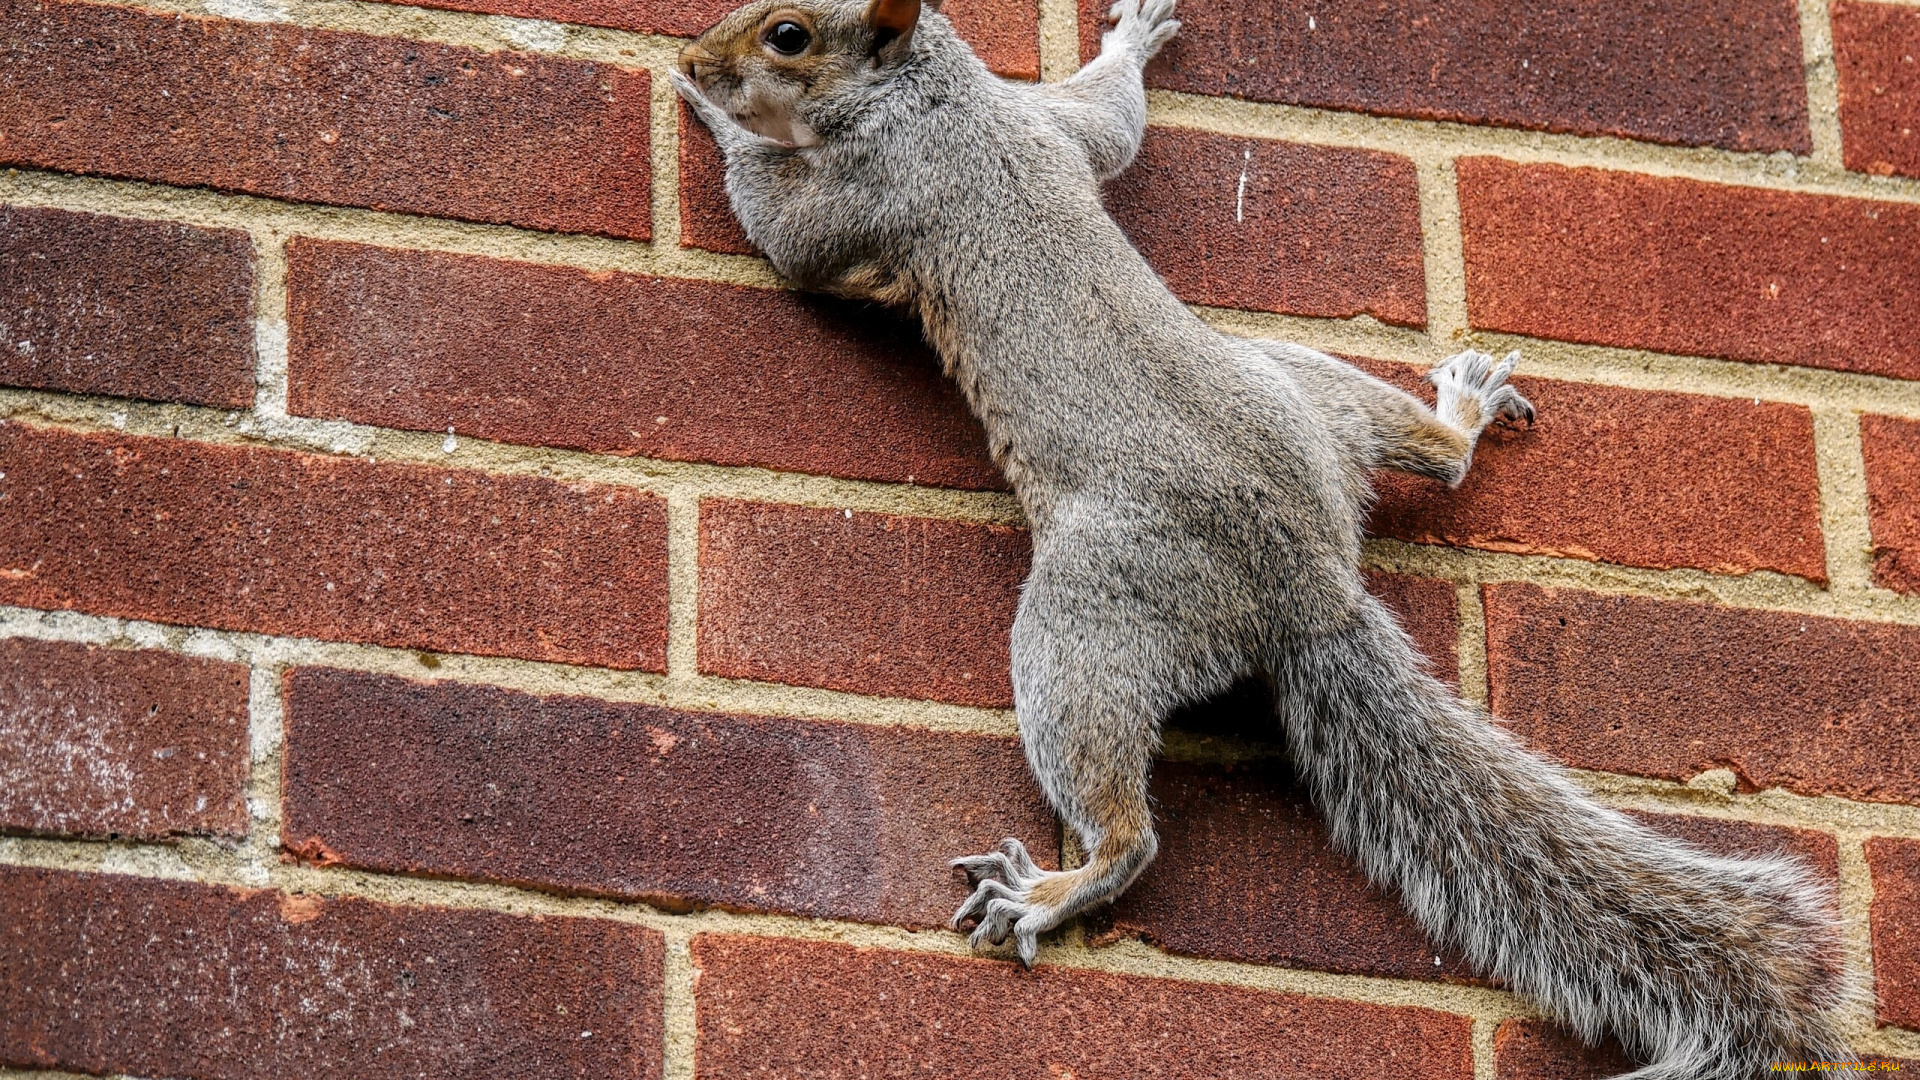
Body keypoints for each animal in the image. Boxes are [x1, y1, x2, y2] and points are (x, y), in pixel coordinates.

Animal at [675, 2, 1858, 1068]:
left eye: (787, 35)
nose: (695, 53)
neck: (936, 98)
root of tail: (1312, 590)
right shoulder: (1047, 124)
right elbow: (1109, 122)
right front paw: (1132, 40)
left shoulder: (872, 192)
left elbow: (784, 234)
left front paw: (710, 110)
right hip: (1301, 389)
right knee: (1434, 459)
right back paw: (1461, 415)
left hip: (1087, 617)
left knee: (1130, 826)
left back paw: (1055, 890)